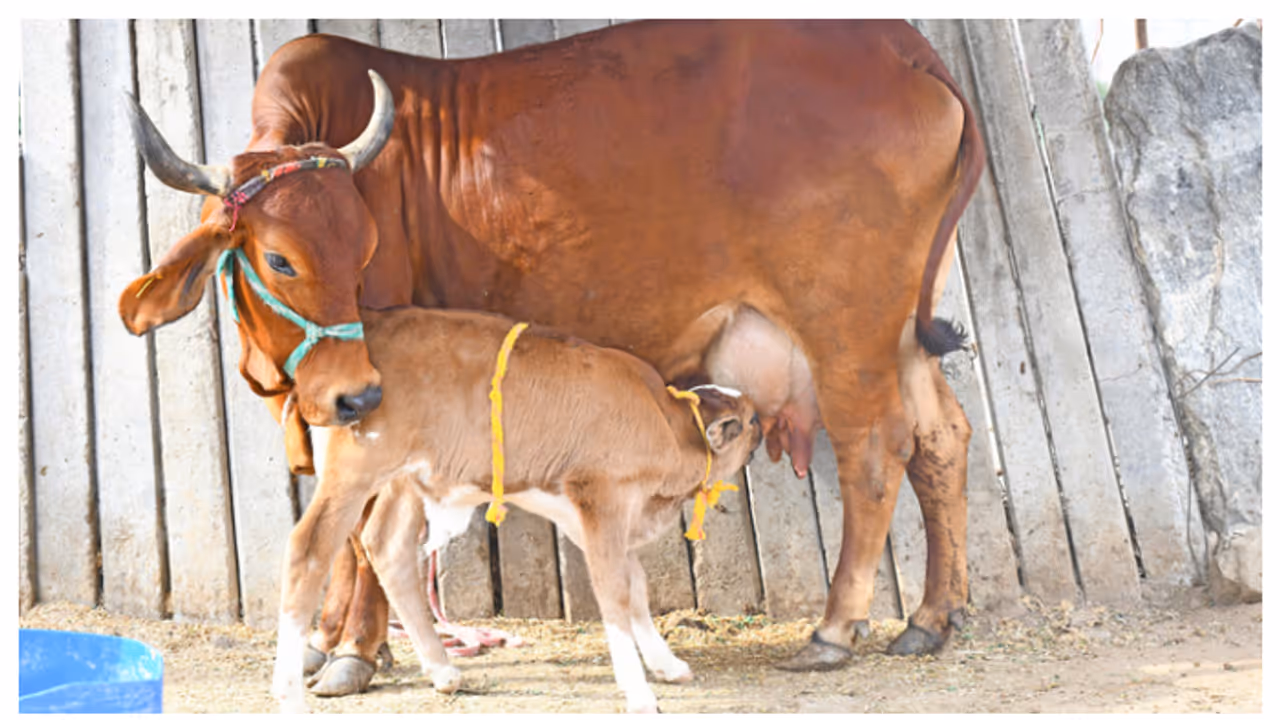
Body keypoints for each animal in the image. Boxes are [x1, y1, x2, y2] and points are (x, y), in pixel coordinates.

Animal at [268, 306, 761, 712]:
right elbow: (615, 592)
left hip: (403, 479)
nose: (764, 424)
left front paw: (667, 664)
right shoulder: (601, 497)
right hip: (353, 474)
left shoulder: (593, 516)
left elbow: (637, 585)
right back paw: (288, 690)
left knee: (386, 546)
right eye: (751, 420)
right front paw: (639, 693)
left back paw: (443, 671)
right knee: (307, 549)